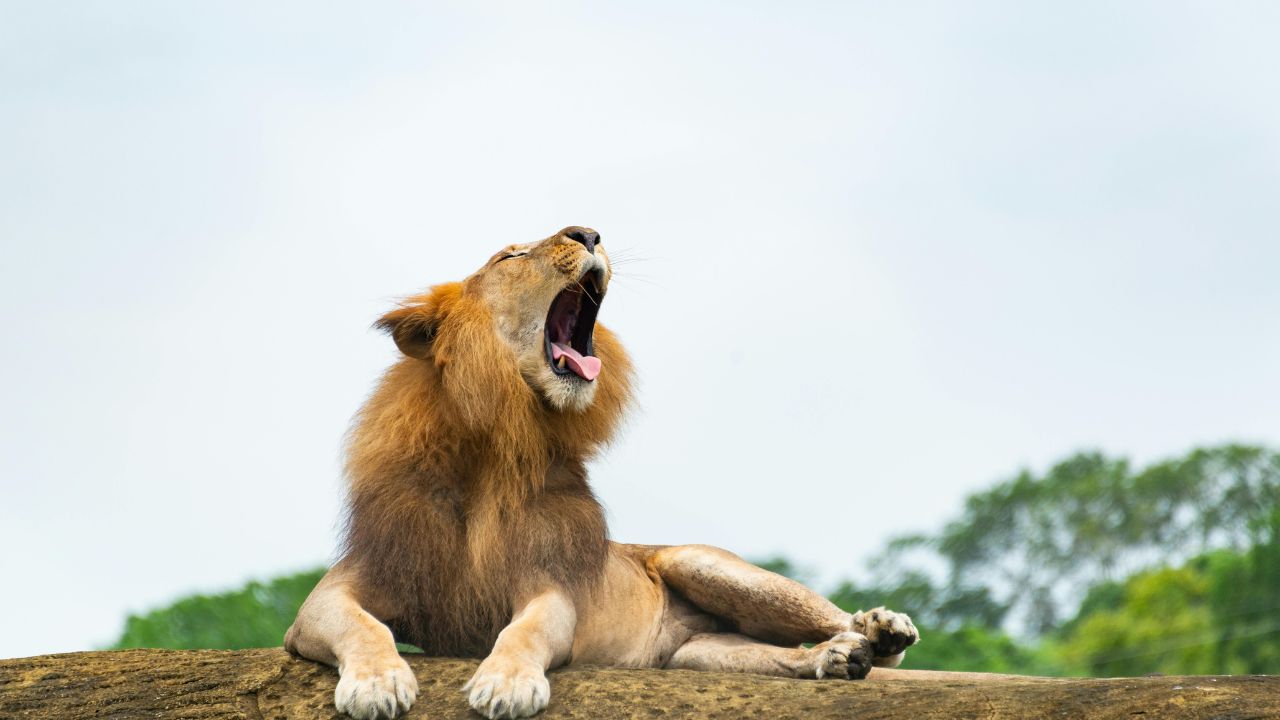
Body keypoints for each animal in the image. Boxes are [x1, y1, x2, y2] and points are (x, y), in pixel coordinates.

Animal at [285, 227, 922, 720]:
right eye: (509, 257)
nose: (589, 233)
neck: (492, 452)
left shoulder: (551, 586)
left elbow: (525, 631)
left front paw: (505, 682)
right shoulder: (329, 598)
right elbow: (365, 627)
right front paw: (378, 682)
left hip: (698, 562)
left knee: (848, 625)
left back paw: (881, 628)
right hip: (696, 653)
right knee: (768, 654)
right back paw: (836, 659)